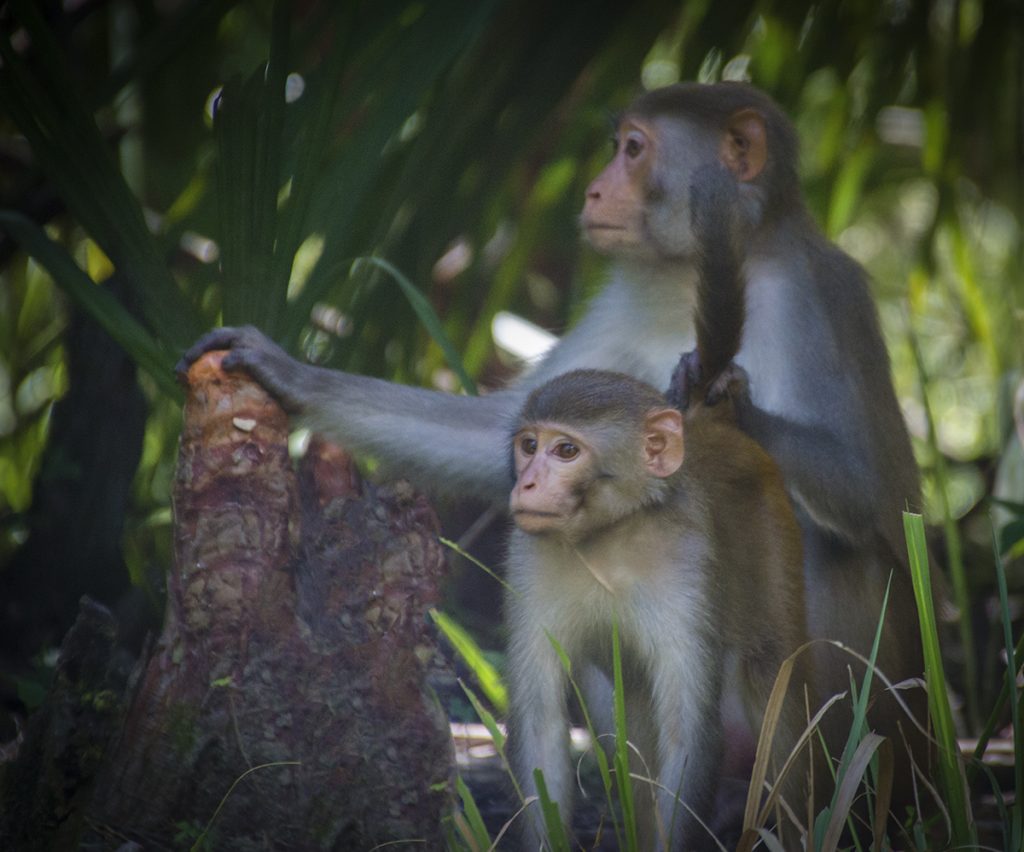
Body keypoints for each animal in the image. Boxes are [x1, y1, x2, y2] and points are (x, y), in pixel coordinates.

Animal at [180, 82, 933, 774]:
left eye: (634, 150)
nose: (595, 190)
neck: (687, 274)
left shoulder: (818, 298)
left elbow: (872, 495)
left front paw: (724, 400)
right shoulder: (621, 306)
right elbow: (504, 431)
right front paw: (294, 376)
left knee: (835, 555)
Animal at [505, 162, 815, 847]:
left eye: (565, 451)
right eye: (529, 445)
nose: (527, 484)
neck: (610, 534)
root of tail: (704, 422)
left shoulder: (689, 568)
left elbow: (688, 734)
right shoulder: (528, 565)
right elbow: (543, 731)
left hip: (771, 535)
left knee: (768, 678)